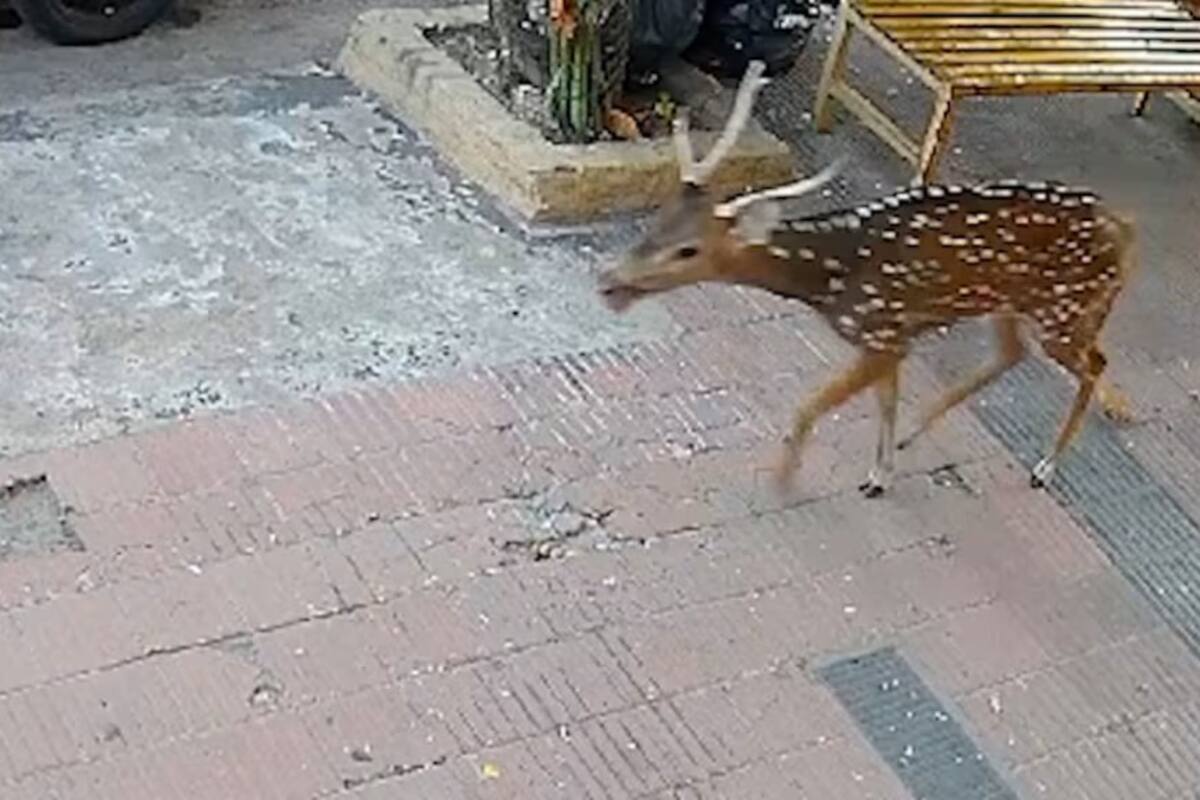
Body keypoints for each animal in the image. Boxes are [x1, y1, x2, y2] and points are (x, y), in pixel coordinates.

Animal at [597, 60, 1136, 498]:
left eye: (688, 249)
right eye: (658, 220)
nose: (608, 282)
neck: (831, 278)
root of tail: (1126, 231)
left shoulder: (880, 332)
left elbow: (809, 406)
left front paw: (784, 480)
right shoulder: (893, 336)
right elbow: (886, 404)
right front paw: (880, 474)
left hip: (1064, 309)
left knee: (1094, 363)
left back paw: (1046, 466)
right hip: (1011, 302)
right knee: (1014, 353)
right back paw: (919, 431)